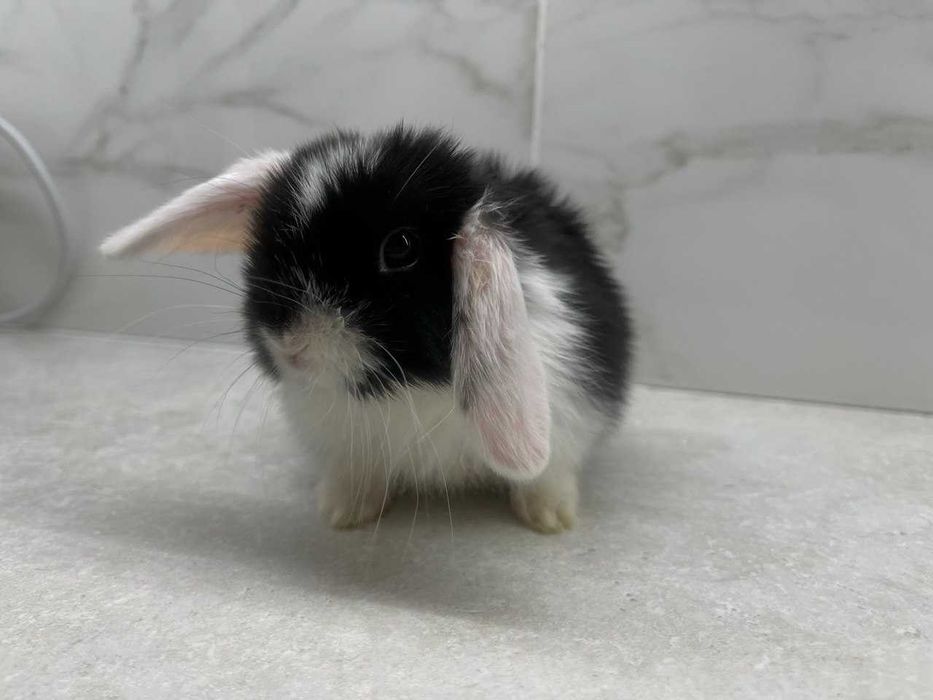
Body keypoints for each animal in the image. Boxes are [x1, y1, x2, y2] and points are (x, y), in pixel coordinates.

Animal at [100, 124, 632, 533]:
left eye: (399, 248)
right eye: (268, 240)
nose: (290, 346)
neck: (409, 387)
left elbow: (547, 473)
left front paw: (548, 518)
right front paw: (342, 513)